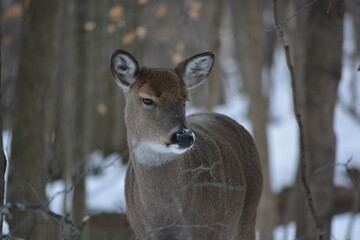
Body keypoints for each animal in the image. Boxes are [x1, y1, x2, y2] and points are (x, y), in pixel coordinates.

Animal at [109, 49, 262, 239]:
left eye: (185, 99)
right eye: (147, 99)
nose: (184, 136)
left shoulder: (211, 230)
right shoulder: (141, 232)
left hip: (249, 213)